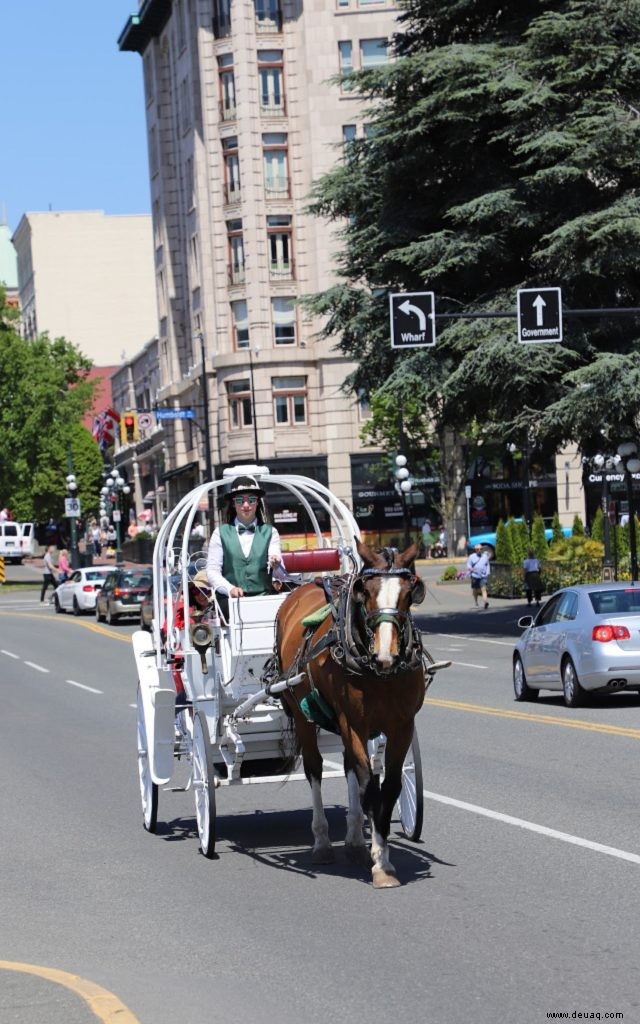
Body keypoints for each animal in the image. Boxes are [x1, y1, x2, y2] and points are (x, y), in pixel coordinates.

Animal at [272, 540, 423, 884]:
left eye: (409, 593)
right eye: (365, 592)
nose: (385, 655)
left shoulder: (402, 726)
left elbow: (389, 787)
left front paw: (380, 855)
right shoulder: (353, 723)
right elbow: (369, 786)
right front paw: (380, 863)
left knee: (348, 767)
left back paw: (354, 841)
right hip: (302, 714)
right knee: (314, 769)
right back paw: (322, 842)